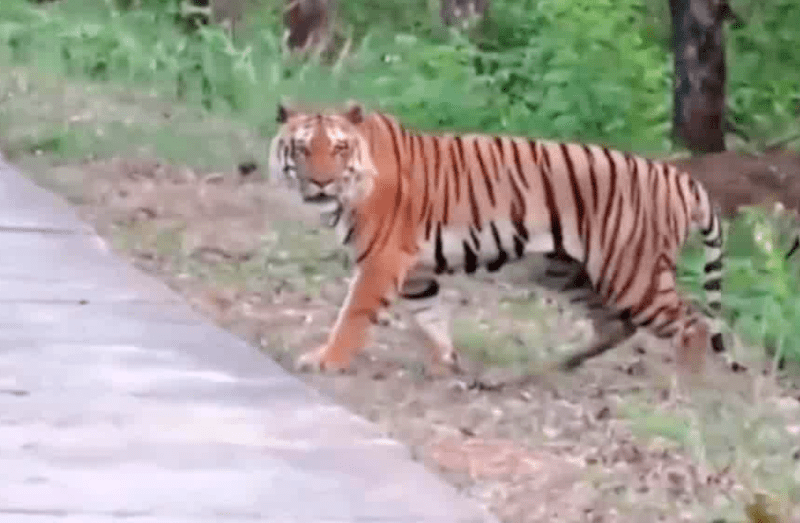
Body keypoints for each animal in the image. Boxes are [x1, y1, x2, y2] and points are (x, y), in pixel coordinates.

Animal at [268, 101, 728, 377]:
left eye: (339, 149)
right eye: (303, 149)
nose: (321, 183)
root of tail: (679, 176)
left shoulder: (382, 259)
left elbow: (353, 315)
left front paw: (326, 360)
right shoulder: (415, 271)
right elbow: (430, 316)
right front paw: (445, 364)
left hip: (633, 274)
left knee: (695, 323)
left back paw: (691, 388)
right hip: (568, 272)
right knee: (616, 324)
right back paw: (554, 366)